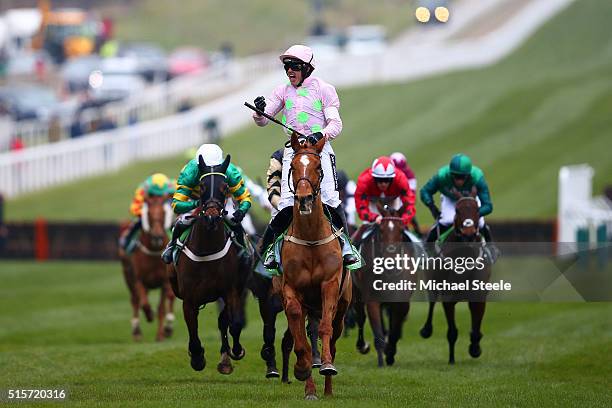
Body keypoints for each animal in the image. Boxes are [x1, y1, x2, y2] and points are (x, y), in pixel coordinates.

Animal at [119, 194, 176, 342]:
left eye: (163, 213)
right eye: (149, 214)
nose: (157, 236)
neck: (154, 252)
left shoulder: (165, 282)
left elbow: (161, 308)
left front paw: (160, 334)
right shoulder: (139, 280)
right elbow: (143, 302)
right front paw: (150, 315)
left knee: (171, 298)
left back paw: (168, 328)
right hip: (127, 275)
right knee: (134, 300)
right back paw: (136, 331)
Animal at [166, 155, 250, 376]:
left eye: (225, 187)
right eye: (202, 186)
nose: (211, 216)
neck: (207, 250)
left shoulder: (231, 291)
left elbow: (234, 324)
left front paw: (236, 351)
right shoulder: (189, 298)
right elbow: (193, 331)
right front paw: (197, 357)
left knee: (223, 321)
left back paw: (225, 359)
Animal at [280, 133, 352, 398]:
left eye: (319, 167)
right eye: (292, 166)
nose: (304, 199)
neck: (311, 238)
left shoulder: (329, 284)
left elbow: (324, 329)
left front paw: (327, 365)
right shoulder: (290, 289)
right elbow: (298, 332)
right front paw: (302, 369)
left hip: (343, 306)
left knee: (333, 333)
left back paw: (328, 388)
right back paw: (310, 388)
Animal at [354, 199, 416, 368]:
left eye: (401, 230)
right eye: (381, 230)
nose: (391, 261)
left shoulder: (401, 301)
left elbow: (395, 331)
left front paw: (390, 353)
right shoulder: (372, 300)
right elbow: (378, 333)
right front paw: (382, 360)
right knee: (360, 317)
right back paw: (362, 346)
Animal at [418, 196, 490, 364]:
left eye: (477, 209)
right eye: (457, 210)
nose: (469, 234)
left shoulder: (478, 296)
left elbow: (476, 328)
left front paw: (475, 348)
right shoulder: (448, 298)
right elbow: (452, 332)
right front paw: (451, 359)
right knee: (431, 303)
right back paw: (426, 330)